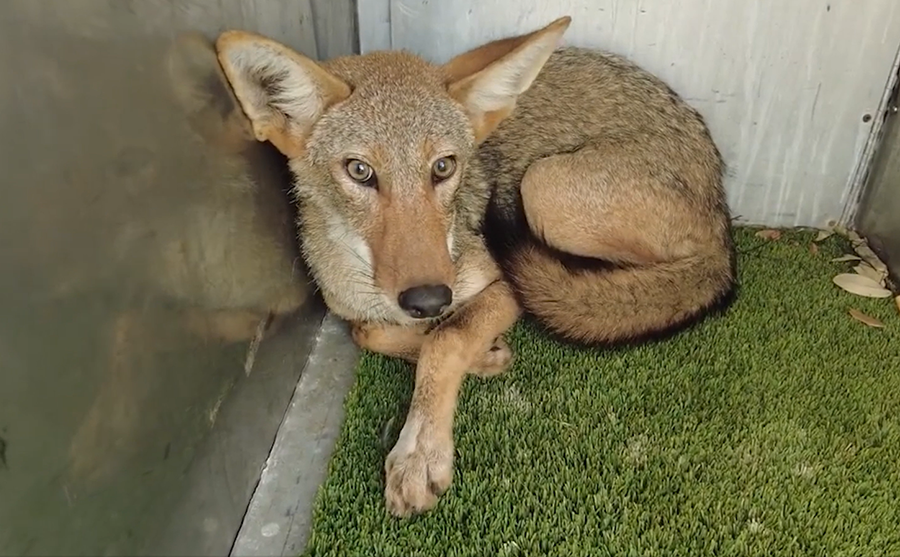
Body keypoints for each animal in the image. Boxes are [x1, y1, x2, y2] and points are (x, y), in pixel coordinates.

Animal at [214, 16, 736, 517]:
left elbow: (447, 339)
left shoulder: (502, 286)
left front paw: (421, 451)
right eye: (359, 171)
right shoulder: (357, 309)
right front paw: (480, 354)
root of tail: (723, 216)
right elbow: (374, 332)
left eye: (443, 167)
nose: (429, 299)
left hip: (545, 188)